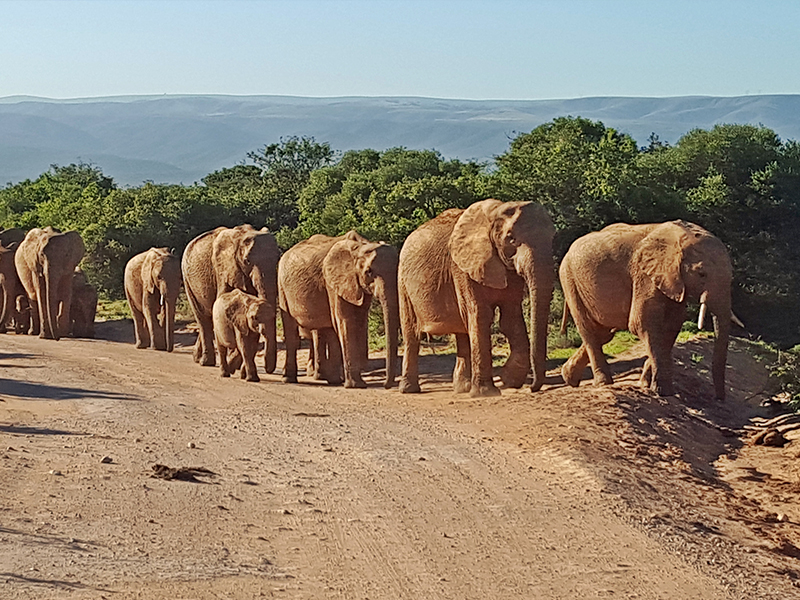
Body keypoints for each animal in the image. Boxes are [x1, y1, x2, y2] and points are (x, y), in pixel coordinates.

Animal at [182, 224, 279, 372]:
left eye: (278, 259)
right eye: (247, 261)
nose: (268, 368)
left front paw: (234, 365)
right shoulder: (223, 270)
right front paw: (231, 364)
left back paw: (197, 358)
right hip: (187, 279)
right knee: (202, 318)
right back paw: (206, 362)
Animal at [278, 231, 400, 389]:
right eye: (368, 272)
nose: (387, 385)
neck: (360, 247)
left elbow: (358, 321)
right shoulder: (333, 281)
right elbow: (345, 322)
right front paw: (356, 385)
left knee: (328, 330)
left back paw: (333, 380)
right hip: (282, 288)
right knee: (292, 332)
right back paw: (289, 379)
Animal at [399, 199, 555, 397]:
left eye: (553, 237)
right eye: (511, 239)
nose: (533, 388)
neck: (496, 211)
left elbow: (510, 319)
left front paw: (508, 380)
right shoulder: (463, 268)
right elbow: (480, 316)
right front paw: (486, 392)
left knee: (462, 330)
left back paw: (462, 388)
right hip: (403, 281)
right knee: (411, 332)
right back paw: (409, 389)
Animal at [559, 220, 736, 400]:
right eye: (701, 274)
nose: (718, 399)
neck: (681, 238)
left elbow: (671, 328)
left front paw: (645, 384)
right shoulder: (644, 275)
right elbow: (642, 324)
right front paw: (663, 392)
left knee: (603, 333)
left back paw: (569, 377)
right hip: (569, 280)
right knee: (589, 331)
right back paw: (602, 383)